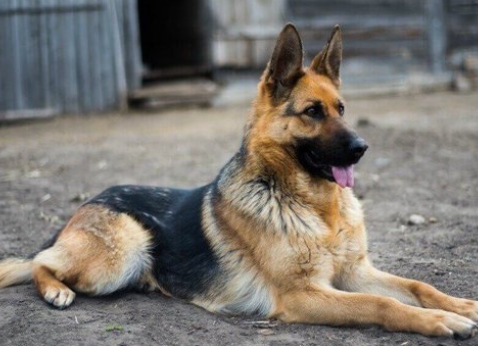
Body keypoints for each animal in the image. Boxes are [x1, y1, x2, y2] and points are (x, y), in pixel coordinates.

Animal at [0, 23, 478, 338]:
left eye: (341, 109)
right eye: (312, 112)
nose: (362, 147)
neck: (316, 208)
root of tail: (89, 201)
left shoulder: (355, 272)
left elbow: (416, 286)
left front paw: (462, 305)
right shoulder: (304, 294)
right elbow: (382, 303)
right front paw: (441, 321)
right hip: (121, 254)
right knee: (40, 263)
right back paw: (56, 291)